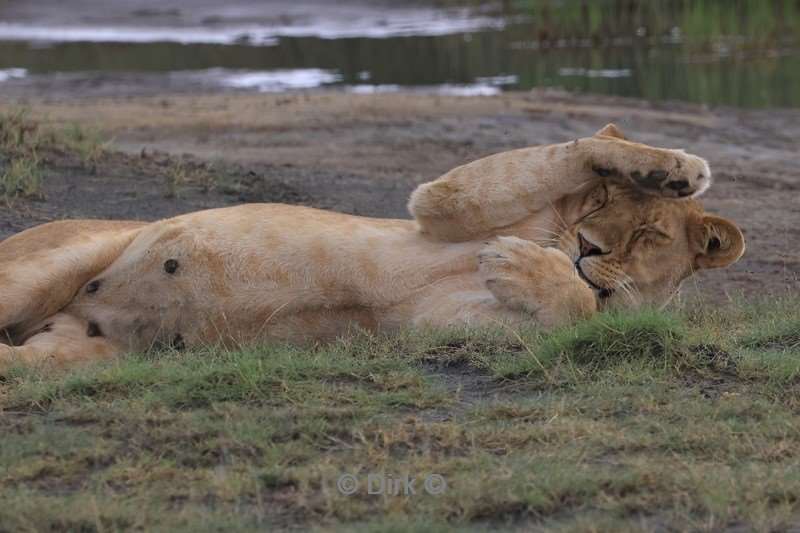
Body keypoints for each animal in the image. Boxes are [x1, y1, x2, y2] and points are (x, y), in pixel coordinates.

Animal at [0, 124, 744, 368]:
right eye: (601, 205)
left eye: (648, 234)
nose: (586, 245)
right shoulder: (440, 206)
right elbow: (584, 145)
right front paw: (675, 168)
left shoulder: (440, 325)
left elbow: (578, 309)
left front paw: (517, 264)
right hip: (51, 264)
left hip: (74, 355)